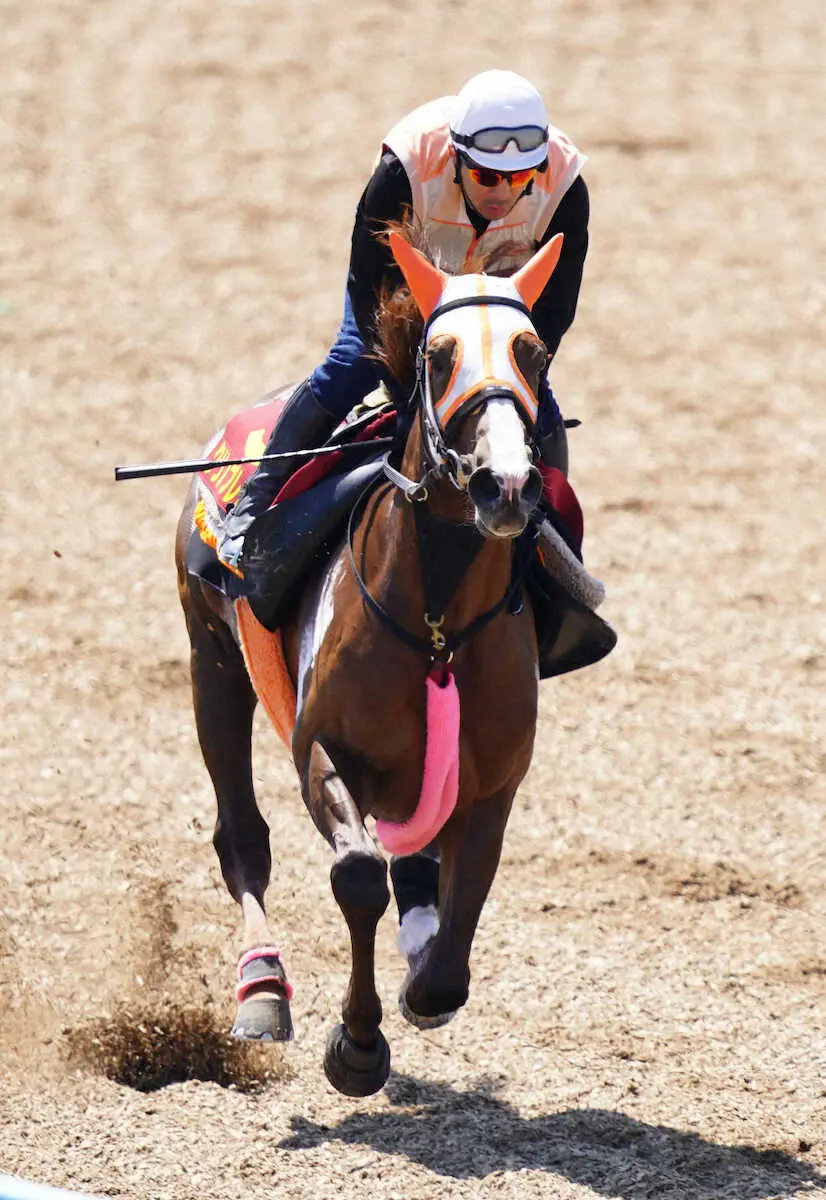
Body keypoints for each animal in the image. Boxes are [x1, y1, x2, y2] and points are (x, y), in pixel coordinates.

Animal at [174, 226, 609, 1099]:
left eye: (533, 352)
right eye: (438, 356)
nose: (506, 485)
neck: (436, 622)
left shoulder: (494, 782)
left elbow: (456, 919)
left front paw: (419, 989)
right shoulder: (319, 748)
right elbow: (357, 874)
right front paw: (356, 1046)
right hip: (212, 662)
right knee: (242, 838)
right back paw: (262, 987)